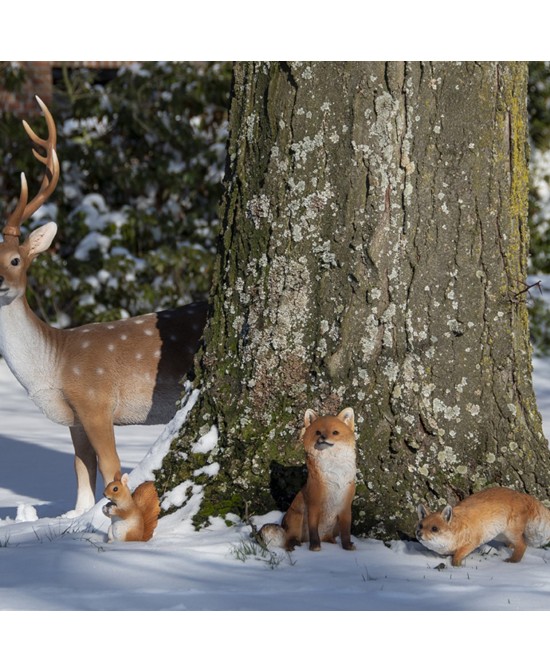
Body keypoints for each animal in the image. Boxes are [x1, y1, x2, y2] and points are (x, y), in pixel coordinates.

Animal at [258, 408, 356, 552]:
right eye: (318, 432)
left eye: (335, 432)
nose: (323, 437)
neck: (335, 476)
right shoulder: (313, 504)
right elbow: (313, 530)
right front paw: (315, 547)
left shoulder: (345, 505)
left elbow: (346, 531)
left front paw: (347, 546)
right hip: (297, 517)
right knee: (290, 542)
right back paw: (295, 546)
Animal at [416, 486, 550, 566]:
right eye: (420, 526)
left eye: (434, 528)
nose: (419, 534)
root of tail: (521, 494)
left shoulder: (472, 542)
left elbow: (457, 556)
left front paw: (457, 565)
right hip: (501, 536)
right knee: (514, 544)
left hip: (511, 532)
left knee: (523, 545)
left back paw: (513, 560)